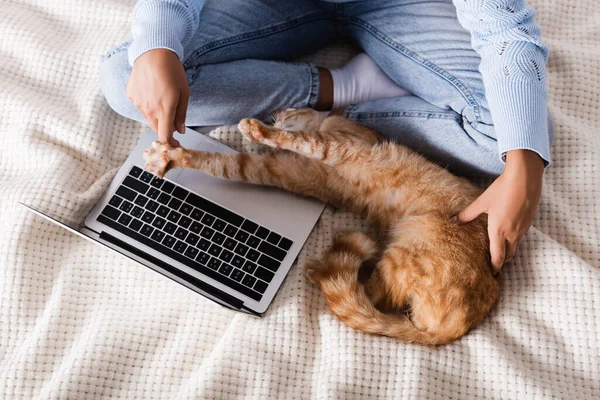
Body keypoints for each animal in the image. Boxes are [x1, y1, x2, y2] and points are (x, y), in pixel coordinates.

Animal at [144, 108, 502, 344]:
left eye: (289, 109)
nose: (278, 113)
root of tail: (456, 330)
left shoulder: (338, 145)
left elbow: (301, 139)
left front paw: (259, 131)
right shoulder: (280, 170)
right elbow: (228, 163)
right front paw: (174, 157)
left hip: (408, 247)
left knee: (368, 295)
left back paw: (319, 270)